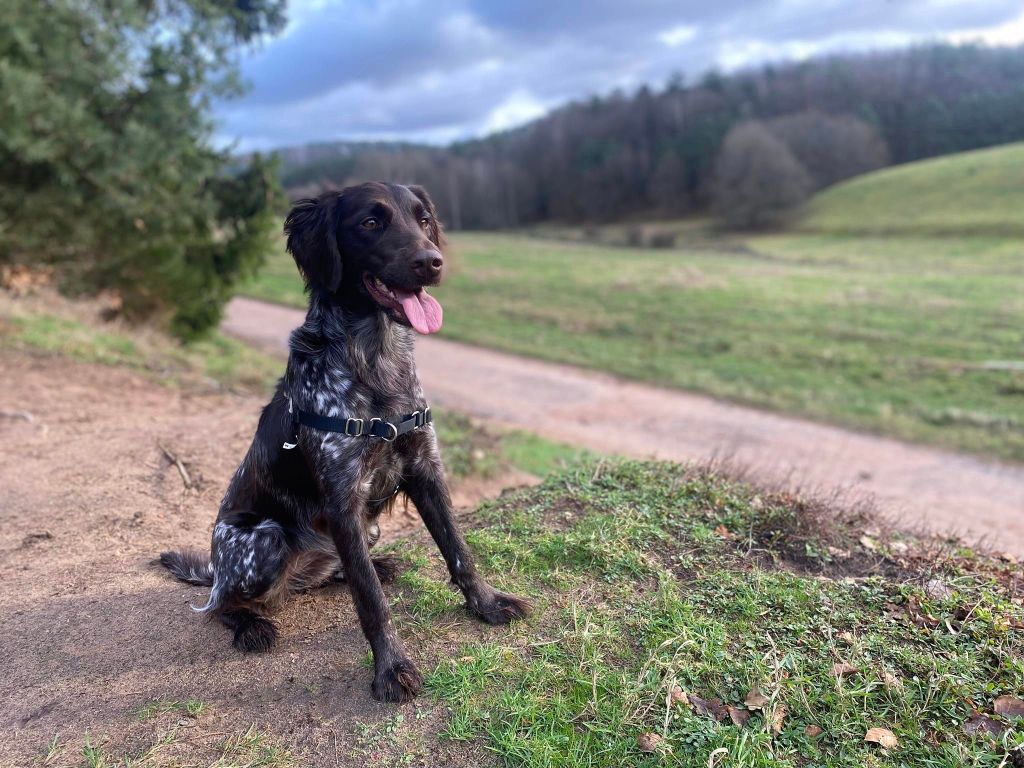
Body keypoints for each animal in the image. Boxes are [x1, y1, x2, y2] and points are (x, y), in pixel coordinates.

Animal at [161, 182, 528, 704]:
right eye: (370, 223)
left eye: (423, 220)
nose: (432, 261)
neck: (376, 358)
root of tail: (215, 570)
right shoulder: (342, 501)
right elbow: (371, 600)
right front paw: (391, 669)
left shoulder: (425, 470)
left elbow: (459, 551)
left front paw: (488, 603)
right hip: (263, 540)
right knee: (220, 605)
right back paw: (250, 625)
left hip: (359, 533)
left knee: (334, 574)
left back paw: (375, 565)